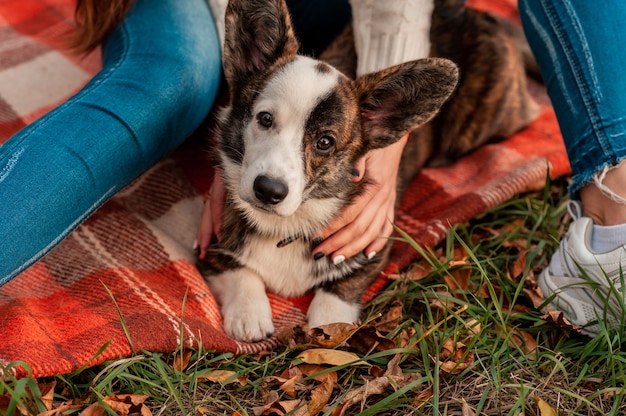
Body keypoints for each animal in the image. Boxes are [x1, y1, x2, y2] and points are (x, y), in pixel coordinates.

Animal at [200, 0, 458, 342]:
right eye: (265, 119)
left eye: (325, 142)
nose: (268, 190)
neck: (286, 225)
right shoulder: (212, 241)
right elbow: (240, 272)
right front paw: (248, 316)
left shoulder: (373, 242)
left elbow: (340, 289)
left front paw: (331, 326)